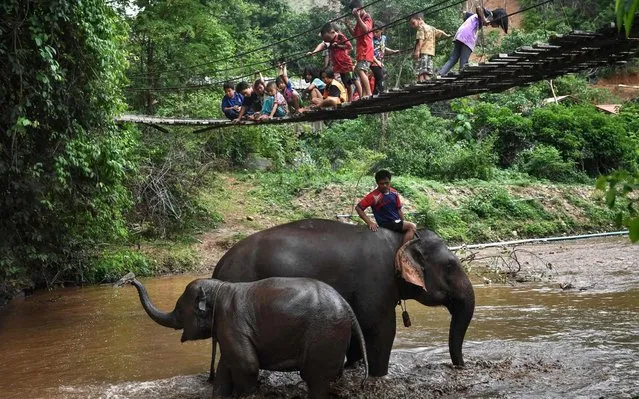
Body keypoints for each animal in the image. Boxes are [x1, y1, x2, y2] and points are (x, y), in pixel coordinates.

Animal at [127, 276, 368, 399]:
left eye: (178, 310)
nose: (129, 279)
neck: (219, 288)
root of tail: (348, 307)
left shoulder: (231, 323)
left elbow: (247, 365)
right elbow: (226, 367)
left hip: (325, 334)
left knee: (315, 378)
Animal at [211, 219, 476, 378]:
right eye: (451, 266)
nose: (460, 366)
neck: (399, 240)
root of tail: (219, 265)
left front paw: (349, 369)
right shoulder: (376, 283)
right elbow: (380, 330)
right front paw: (378, 375)